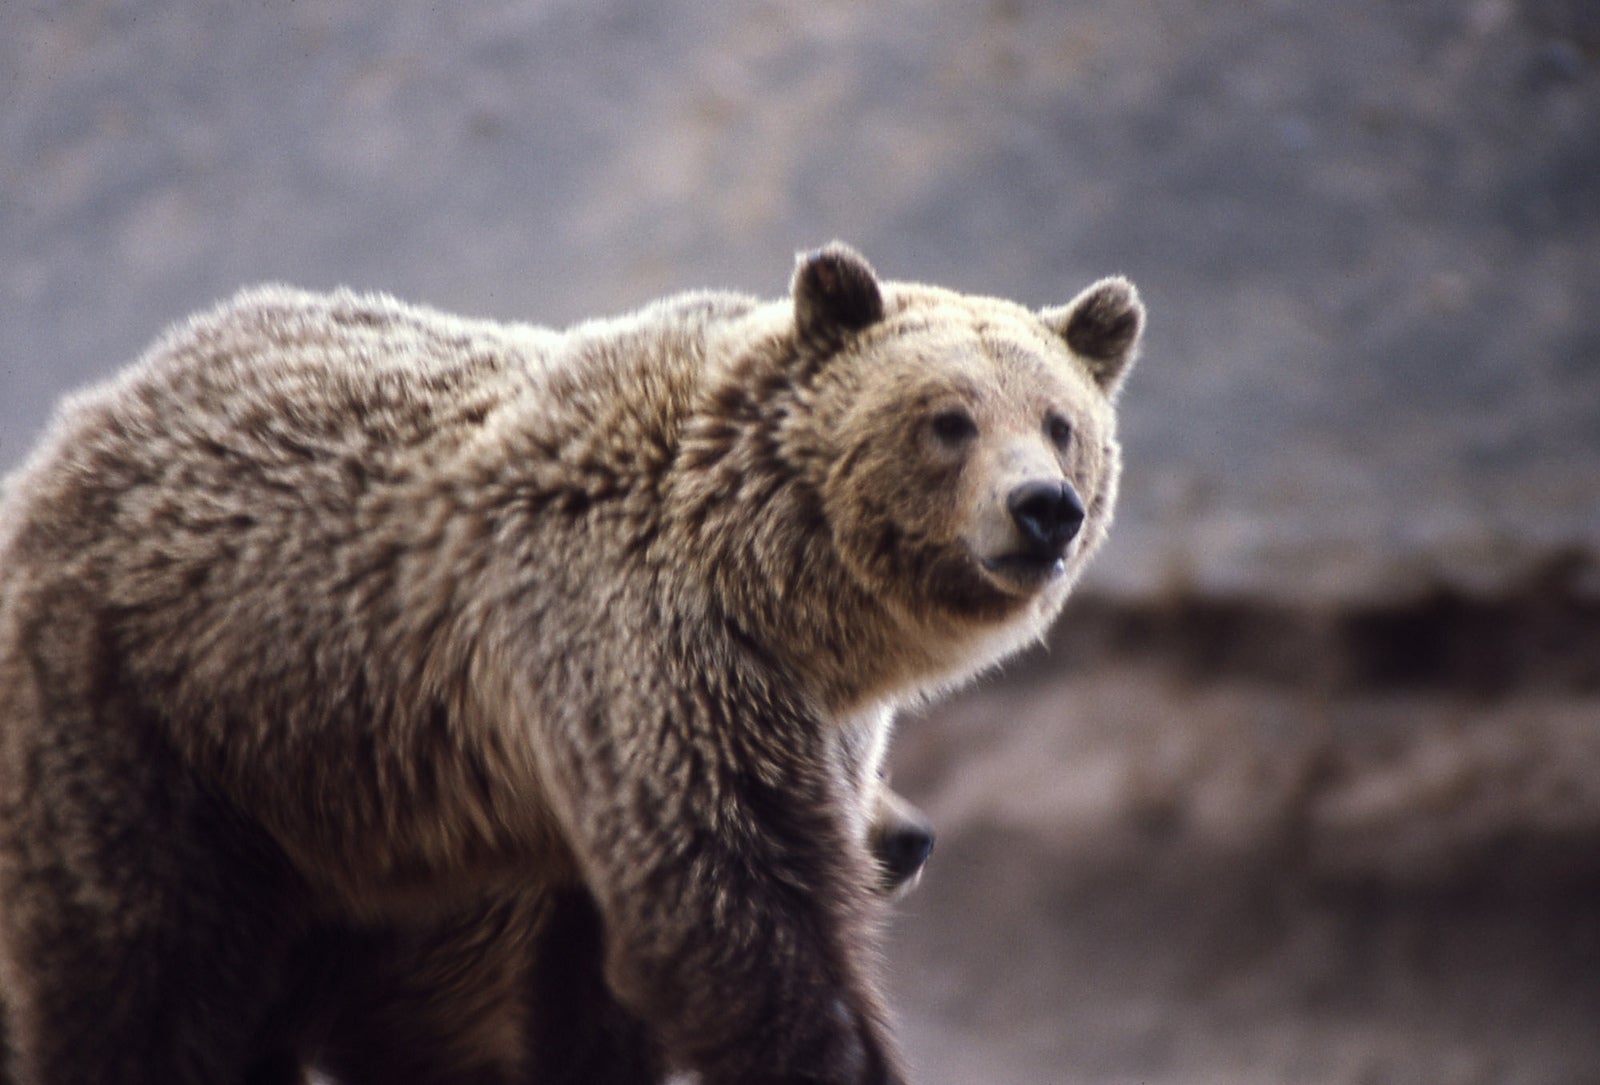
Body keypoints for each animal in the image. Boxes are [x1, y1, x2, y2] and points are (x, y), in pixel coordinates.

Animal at [0, 241, 1145, 1081]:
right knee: (141, 970)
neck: (772, 586)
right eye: (948, 418)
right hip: (158, 720)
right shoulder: (641, 653)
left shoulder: (774, 726)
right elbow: (740, 919)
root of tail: (71, 430)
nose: (1042, 507)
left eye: (1061, 422)